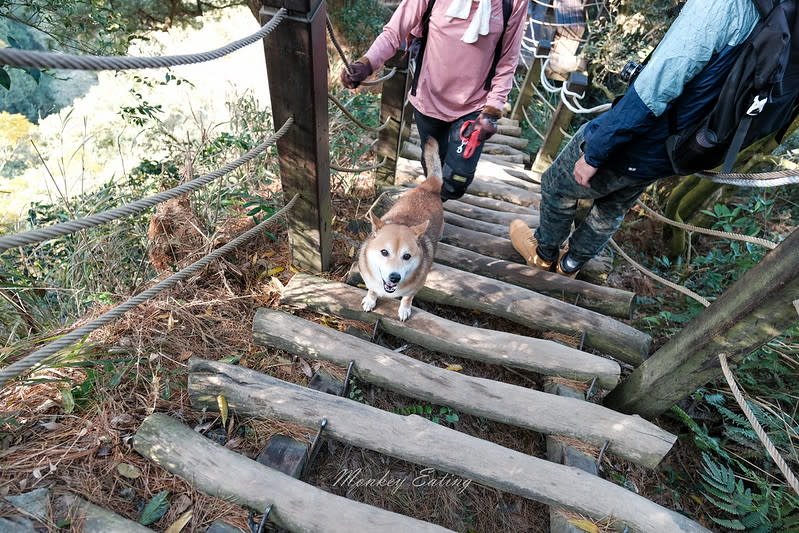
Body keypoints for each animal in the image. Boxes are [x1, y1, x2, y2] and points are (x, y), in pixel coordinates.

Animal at [360, 138, 446, 320]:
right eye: (384, 252)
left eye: (407, 256)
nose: (395, 277)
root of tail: (428, 186)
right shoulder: (371, 281)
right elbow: (372, 289)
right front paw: (370, 300)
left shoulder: (414, 288)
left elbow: (407, 298)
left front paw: (404, 309)